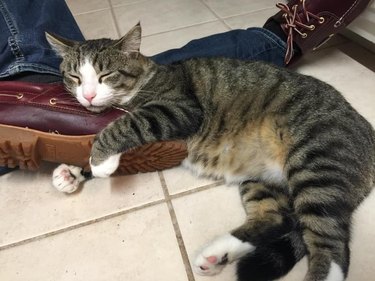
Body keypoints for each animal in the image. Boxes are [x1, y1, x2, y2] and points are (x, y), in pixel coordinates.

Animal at [47, 24, 375, 280]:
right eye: (75, 78)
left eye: (106, 75)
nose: (88, 96)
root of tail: (368, 131)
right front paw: (73, 171)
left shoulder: (178, 109)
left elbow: (126, 124)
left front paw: (100, 160)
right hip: (263, 179)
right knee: (276, 219)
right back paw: (218, 254)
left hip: (317, 162)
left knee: (333, 245)